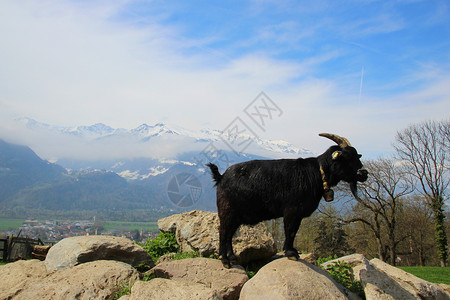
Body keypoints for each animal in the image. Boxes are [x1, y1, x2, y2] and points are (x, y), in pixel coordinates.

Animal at [207, 133, 370, 268]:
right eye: (346, 157)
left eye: (357, 156)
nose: (364, 173)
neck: (317, 173)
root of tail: (221, 176)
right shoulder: (292, 210)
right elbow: (290, 230)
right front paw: (291, 253)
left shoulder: (298, 214)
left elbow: (294, 231)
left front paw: (292, 251)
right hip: (227, 211)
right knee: (223, 232)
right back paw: (225, 260)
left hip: (237, 216)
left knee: (229, 234)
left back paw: (232, 258)